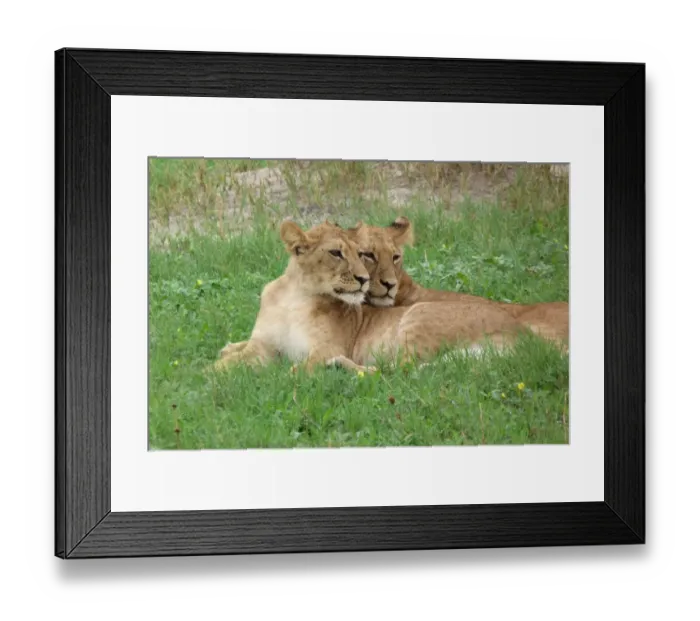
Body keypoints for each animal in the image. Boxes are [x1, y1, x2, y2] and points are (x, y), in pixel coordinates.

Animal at [214, 220, 527, 373]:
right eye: (337, 253)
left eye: (358, 253)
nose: (364, 279)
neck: (296, 297)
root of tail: (520, 335)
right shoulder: (264, 345)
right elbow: (224, 365)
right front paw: (210, 376)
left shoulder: (325, 348)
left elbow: (295, 371)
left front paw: (275, 376)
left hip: (418, 316)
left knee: (396, 373)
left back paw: (338, 366)